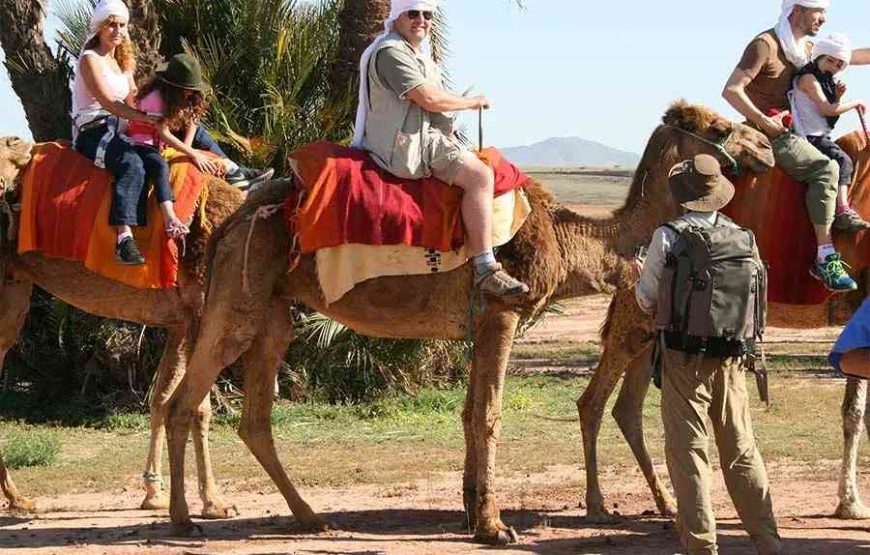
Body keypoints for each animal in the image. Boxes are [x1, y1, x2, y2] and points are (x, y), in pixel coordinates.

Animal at [0, 136, 241, 518]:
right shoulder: (201, 310)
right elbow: (197, 406)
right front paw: (214, 502)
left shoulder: (180, 320)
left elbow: (162, 399)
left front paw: (154, 494)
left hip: (13, 286)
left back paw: (20, 498)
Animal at [159, 101, 775, 544]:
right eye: (719, 126)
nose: (767, 144)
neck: (566, 239)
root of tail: (233, 220)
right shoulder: (502, 312)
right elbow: (490, 415)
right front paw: (495, 526)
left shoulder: (477, 326)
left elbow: (468, 413)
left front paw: (470, 510)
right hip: (241, 296)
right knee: (184, 402)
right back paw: (185, 519)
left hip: (274, 311)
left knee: (252, 418)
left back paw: (310, 517)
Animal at [585, 103, 870, 524]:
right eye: (719, 128)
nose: (764, 145)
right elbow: (856, 411)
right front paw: (850, 504)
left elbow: (854, 410)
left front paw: (848, 503)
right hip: (632, 319)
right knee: (593, 402)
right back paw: (598, 504)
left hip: (649, 331)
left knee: (627, 409)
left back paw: (666, 502)